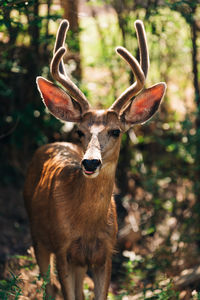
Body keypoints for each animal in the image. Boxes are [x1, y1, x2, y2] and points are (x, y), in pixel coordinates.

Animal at [23, 19, 166, 300]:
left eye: (116, 131)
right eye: (80, 131)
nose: (90, 163)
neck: (87, 226)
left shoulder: (105, 253)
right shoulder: (63, 248)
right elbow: (65, 290)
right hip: (37, 236)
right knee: (49, 286)